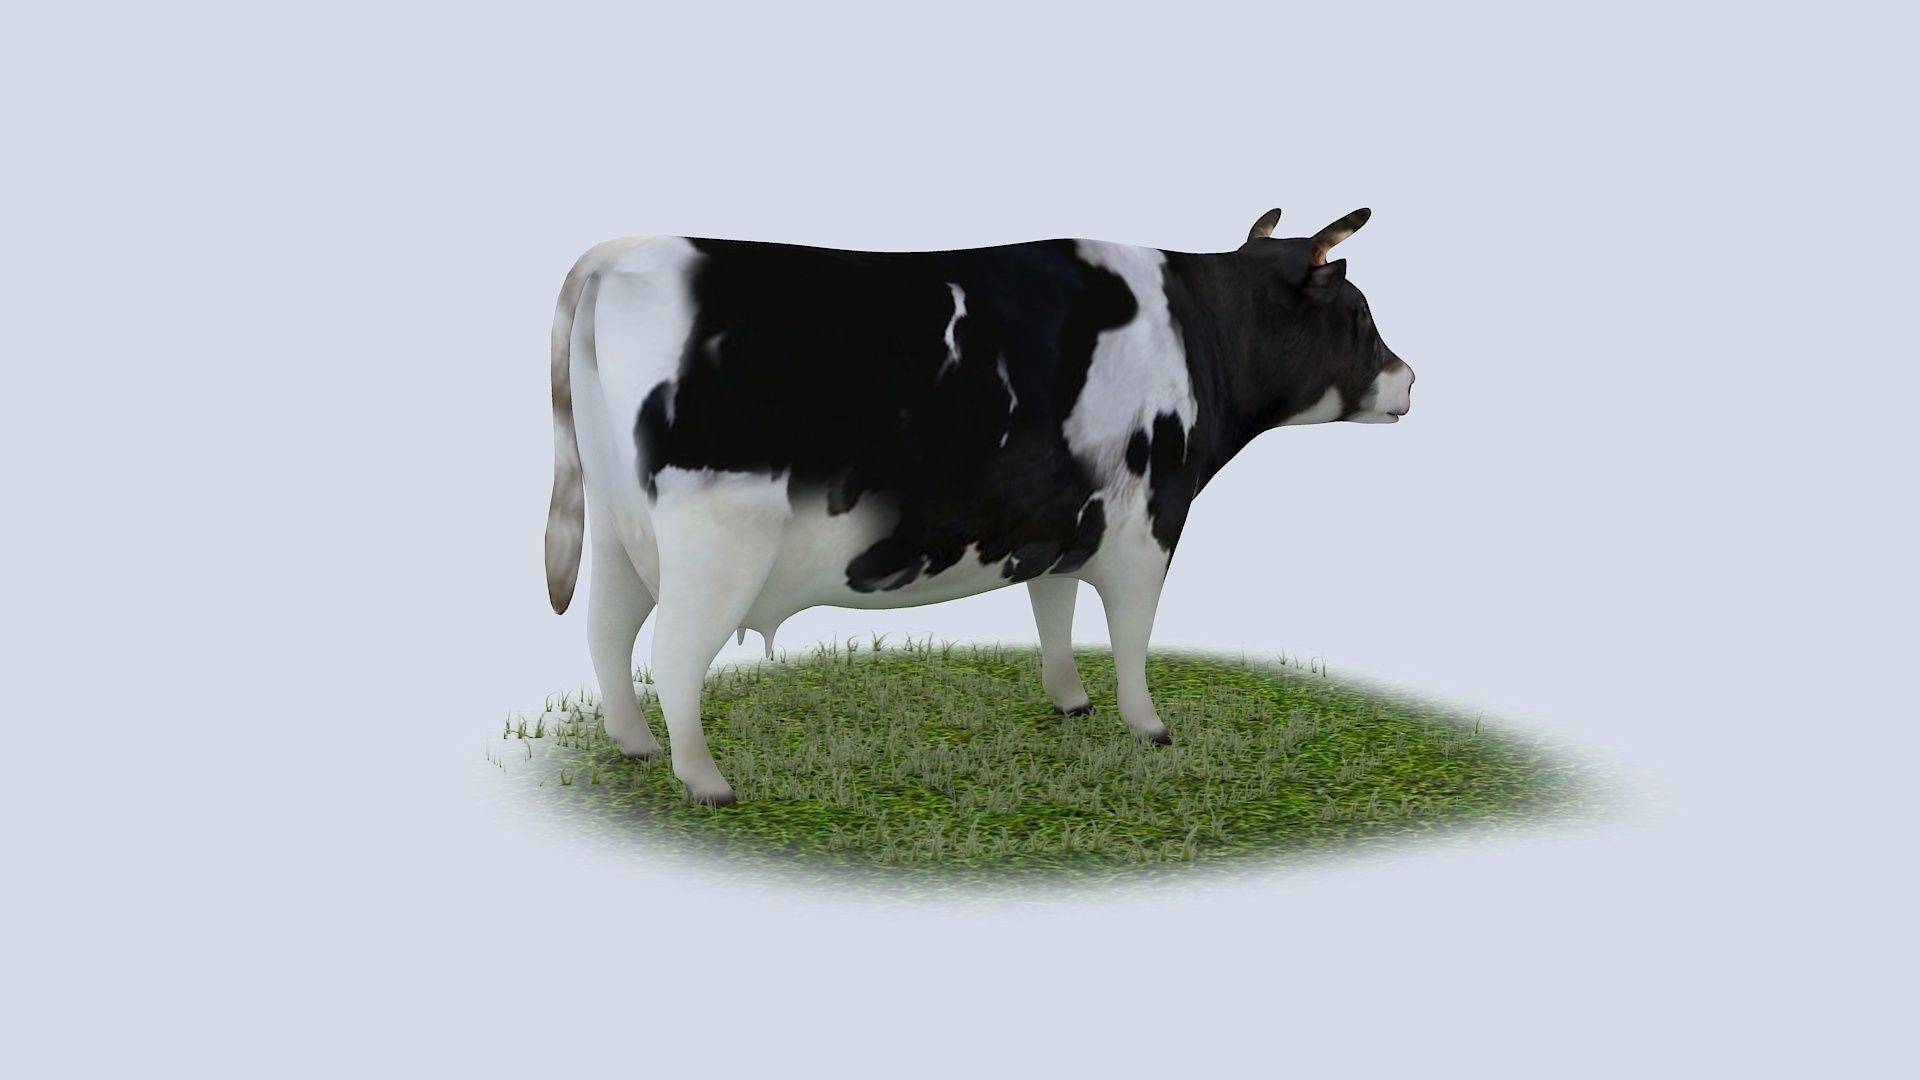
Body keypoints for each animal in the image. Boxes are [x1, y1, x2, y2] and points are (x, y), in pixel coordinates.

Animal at [545, 207, 1414, 805]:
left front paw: (1071, 701)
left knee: (606, 633)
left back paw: (635, 747)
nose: (1410, 379)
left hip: (620, 531)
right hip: (715, 542)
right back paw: (705, 781)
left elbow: (1055, 609)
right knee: (672, 653)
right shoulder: (1148, 525)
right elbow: (1131, 634)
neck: (1195, 328)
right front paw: (1149, 727)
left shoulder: (1063, 517)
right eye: (1360, 314)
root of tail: (631, 251)